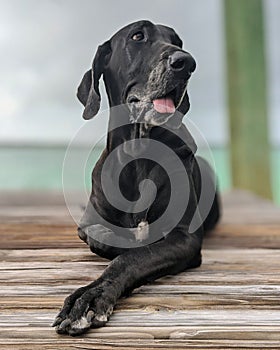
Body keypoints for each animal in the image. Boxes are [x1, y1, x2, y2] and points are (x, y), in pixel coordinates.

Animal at [52, 19, 219, 336]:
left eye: (177, 41)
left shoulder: (184, 237)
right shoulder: (89, 222)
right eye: (138, 36)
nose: (186, 62)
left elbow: (130, 257)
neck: (137, 150)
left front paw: (89, 297)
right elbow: (98, 235)